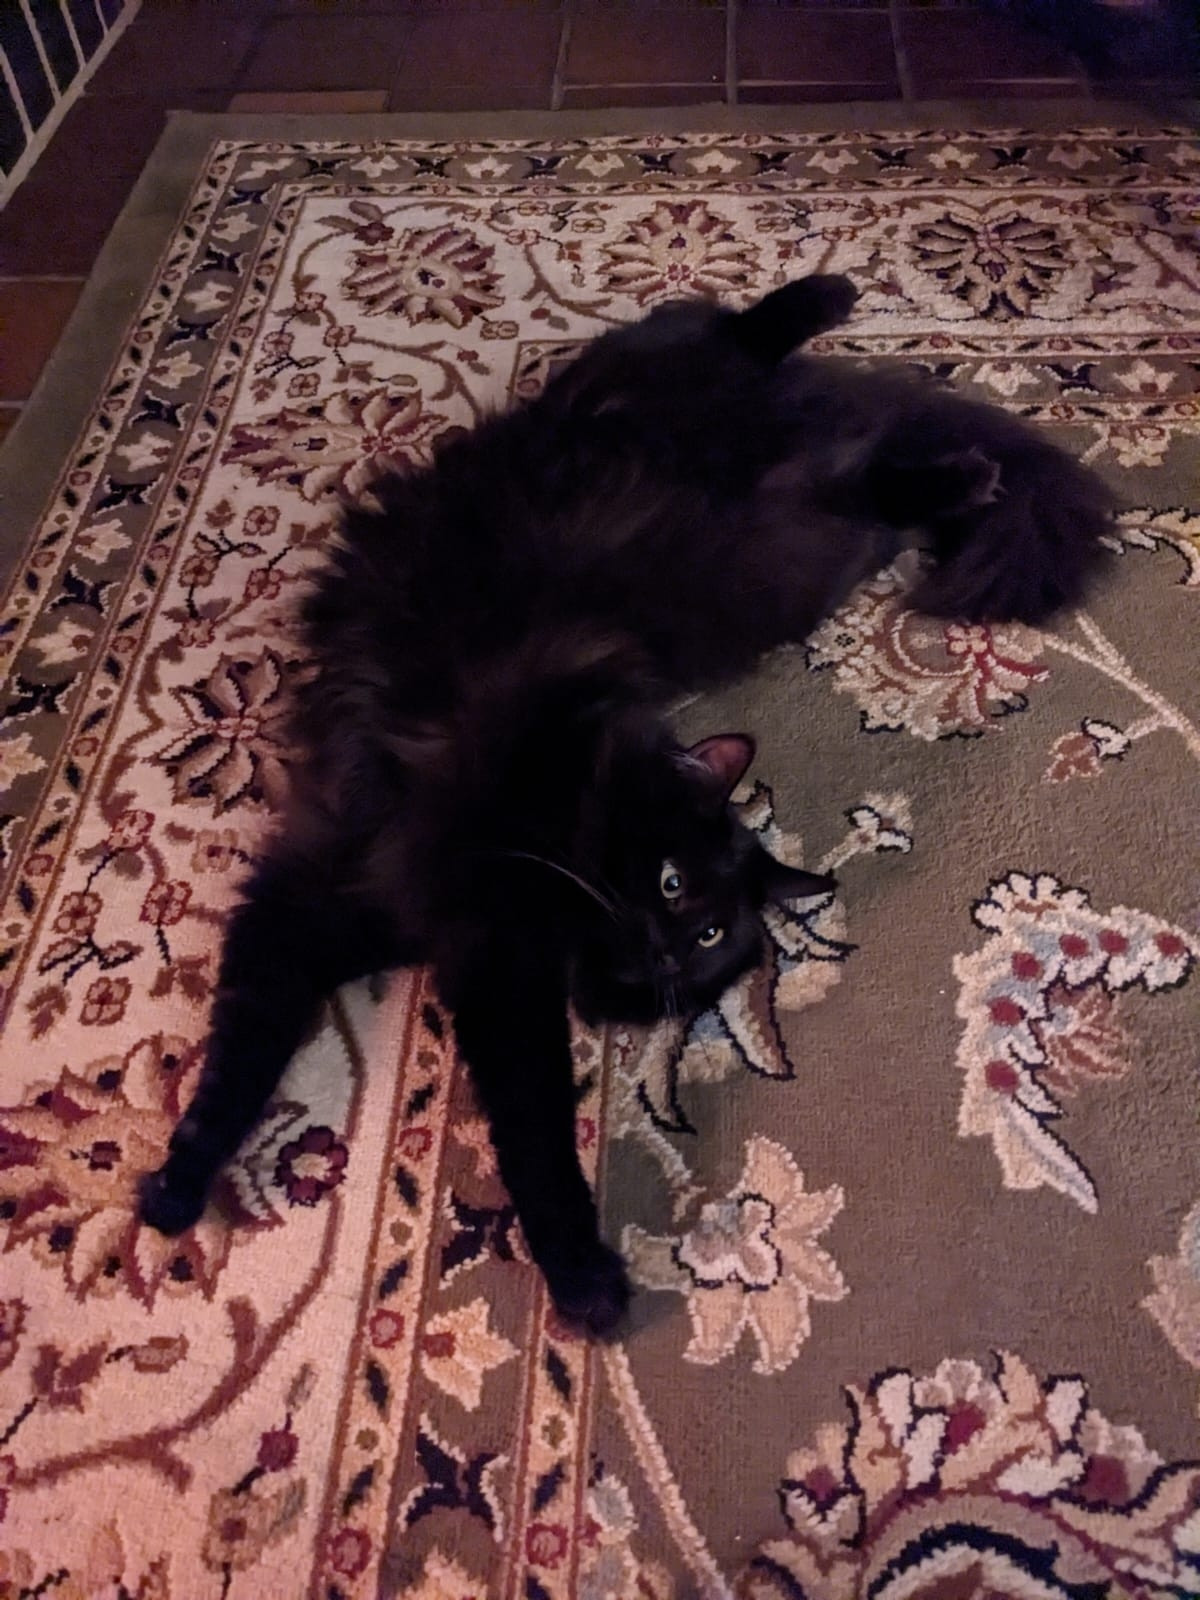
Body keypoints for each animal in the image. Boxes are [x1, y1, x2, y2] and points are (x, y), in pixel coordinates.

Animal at [140, 268, 1120, 1331]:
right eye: (672, 883)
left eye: (706, 938)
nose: (661, 952)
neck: (559, 796)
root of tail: (805, 415)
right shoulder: (427, 933)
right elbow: (468, 1118)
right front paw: (584, 1277)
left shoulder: (361, 920)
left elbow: (252, 1059)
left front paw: (173, 1190)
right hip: (672, 410)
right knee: (723, 331)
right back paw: (842, 314)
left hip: (807, 540)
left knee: (849, 461)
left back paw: (945, 457)